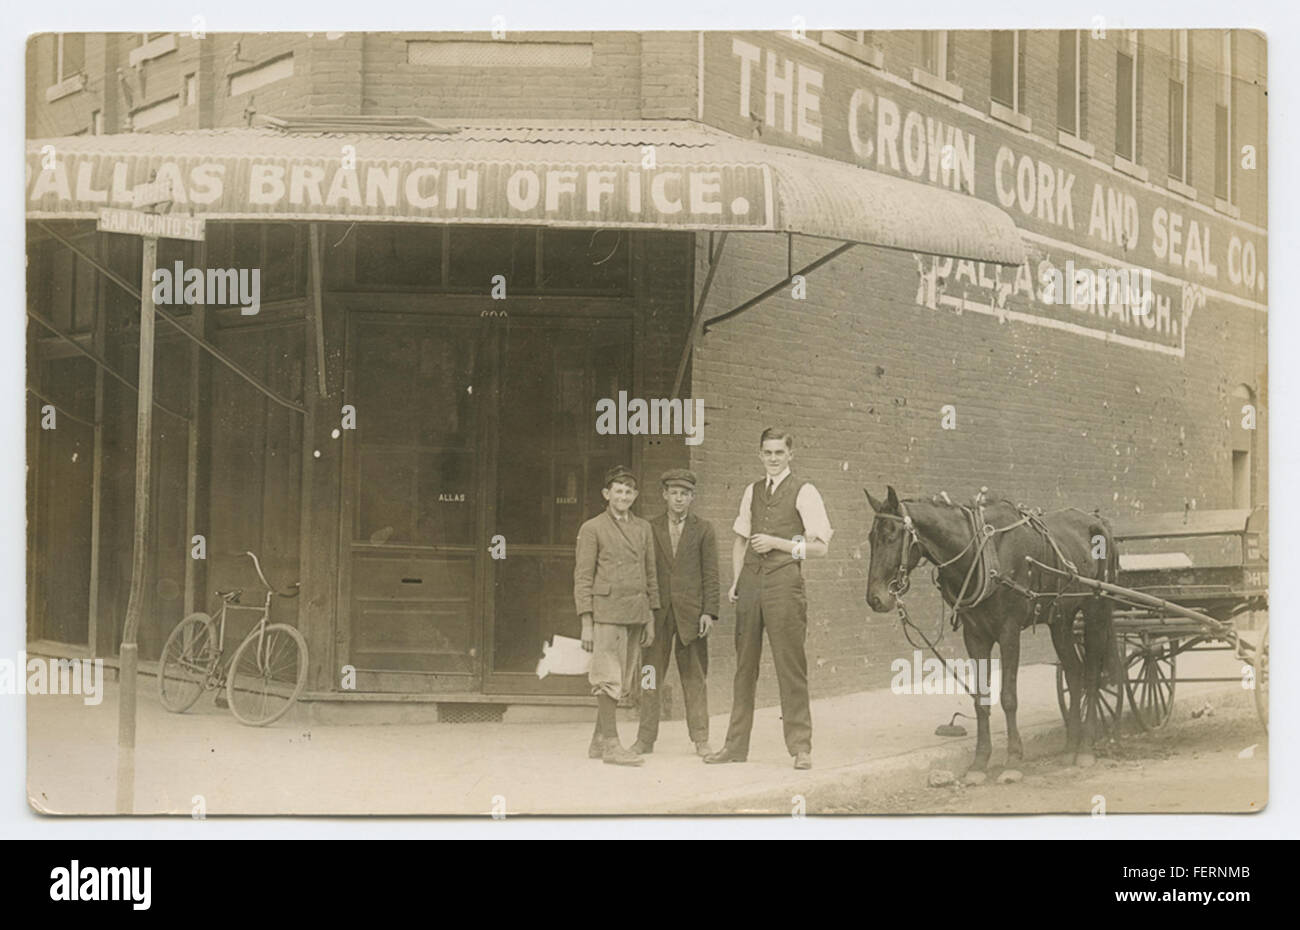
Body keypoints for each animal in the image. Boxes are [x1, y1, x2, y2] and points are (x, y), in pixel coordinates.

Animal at [863, 483, 1118, 775]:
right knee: (1075, 676)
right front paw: (980, 762)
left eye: (890, 536)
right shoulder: (975, 636)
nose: (875, 598)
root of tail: (1098, 521)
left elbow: (1008, 697)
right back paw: (1069, 748)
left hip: (1096, 611)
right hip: (1061, 620)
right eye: (871, 538)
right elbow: (981, 699)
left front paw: (1013, 760)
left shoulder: (1009, 632)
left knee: (1092, 676)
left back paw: (1085, 748)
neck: (980, 553)